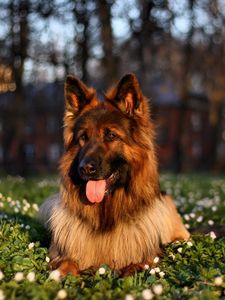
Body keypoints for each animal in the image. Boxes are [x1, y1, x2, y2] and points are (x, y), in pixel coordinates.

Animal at [39, 73, 190, 276]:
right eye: (83, 137)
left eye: (111, 135)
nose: (85, 169)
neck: (106, 213)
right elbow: (67, 264)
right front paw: (61, 275)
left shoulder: (148, 258)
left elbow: (134, 267)